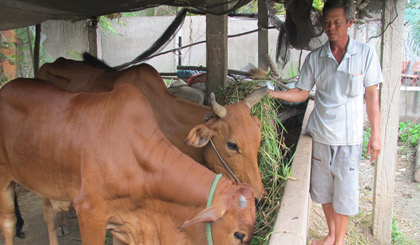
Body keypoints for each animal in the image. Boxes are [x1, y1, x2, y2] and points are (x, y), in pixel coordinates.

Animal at [0, 79, 256, 244]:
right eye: (239, 235)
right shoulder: (89, 212)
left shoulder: (124, 223)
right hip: (4, 180)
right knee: (9, 224)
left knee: (48, 217)